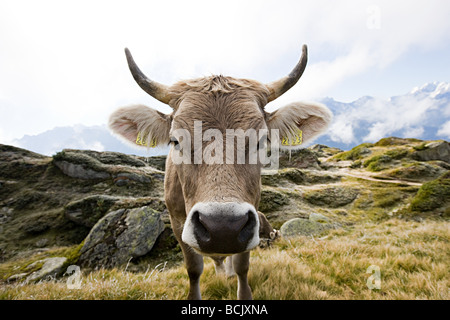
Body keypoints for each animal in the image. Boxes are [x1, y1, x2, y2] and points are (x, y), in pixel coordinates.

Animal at [108, 45, 332, 300]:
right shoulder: (177, 221)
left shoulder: (250, 217)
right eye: (175, 140)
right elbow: (193, 268)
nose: (222, 227)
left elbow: (243, 266)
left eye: (262, 141)